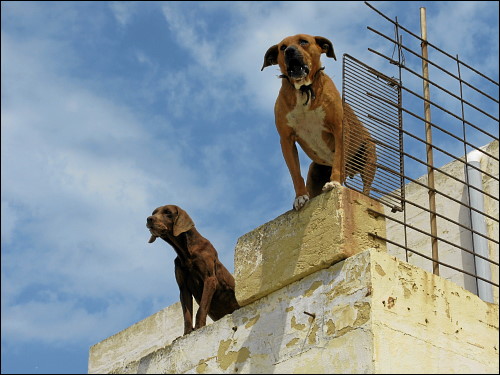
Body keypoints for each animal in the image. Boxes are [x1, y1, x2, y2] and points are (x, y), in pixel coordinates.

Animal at [146, 204, 240, 336]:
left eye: (168, 212)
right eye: (153, 213)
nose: (149, 219)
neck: (186, 251)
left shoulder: (209, 279)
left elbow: (201, 308)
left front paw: (199, 327)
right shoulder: (184, 288)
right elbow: (187, 315)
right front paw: (187, 333)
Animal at [262, 34, 376, 212]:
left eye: (303, 41)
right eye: (282, 47)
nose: (290, 51)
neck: (304, 90)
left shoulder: (339, 129)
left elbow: (338, 160)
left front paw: (334, 182)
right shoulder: (286, 140)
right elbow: (295, 173)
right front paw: (300, 196)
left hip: (368, 157)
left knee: (366, 189)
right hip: (314, 171)